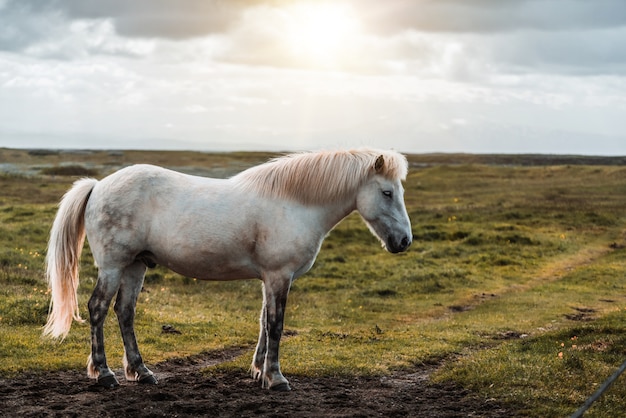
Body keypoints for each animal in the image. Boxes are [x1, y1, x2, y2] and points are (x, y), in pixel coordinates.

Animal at [42, 149, 410, 390]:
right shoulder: (279, 276)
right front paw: (276, 378)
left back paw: (141, 371)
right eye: (387, 192)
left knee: (125, 312)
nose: (404, 241)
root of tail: (98, 185)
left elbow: (263, 322)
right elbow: (276, 325)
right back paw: (104, 374)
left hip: (135, 266)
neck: (295, 203)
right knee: (98, 308)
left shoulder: (269, 278)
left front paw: (259, 371)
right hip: (114, 266)